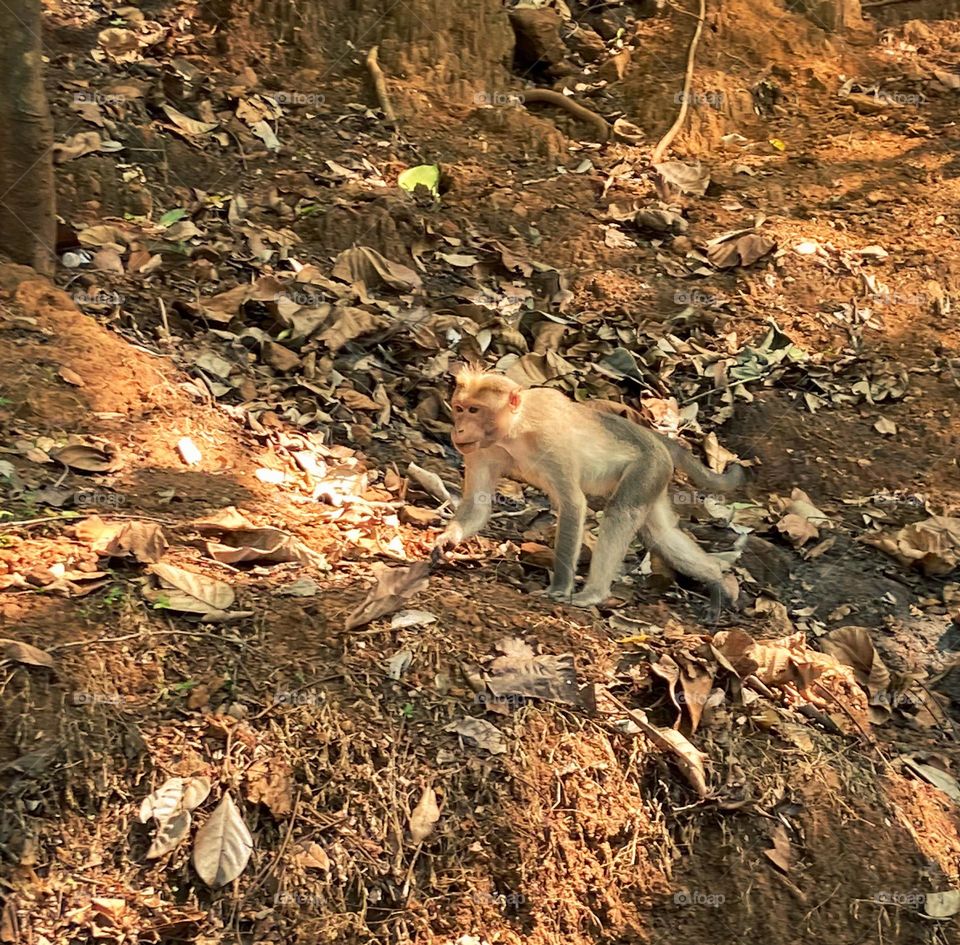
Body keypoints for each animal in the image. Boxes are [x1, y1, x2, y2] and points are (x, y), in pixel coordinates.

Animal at [434, 369, 743, 613]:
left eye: (474, 410)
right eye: (459, 408)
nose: (458, 430)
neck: (514, 429)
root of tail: (655, 439)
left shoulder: (549, 439)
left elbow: (573, 504)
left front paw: (559, 588)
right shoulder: (481, 450)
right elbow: (477, 504)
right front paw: (446, 540)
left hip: (648, 467)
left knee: (620, 513)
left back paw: (594, 593)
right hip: (657, 477)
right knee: (661, 534)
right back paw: (717, 579)